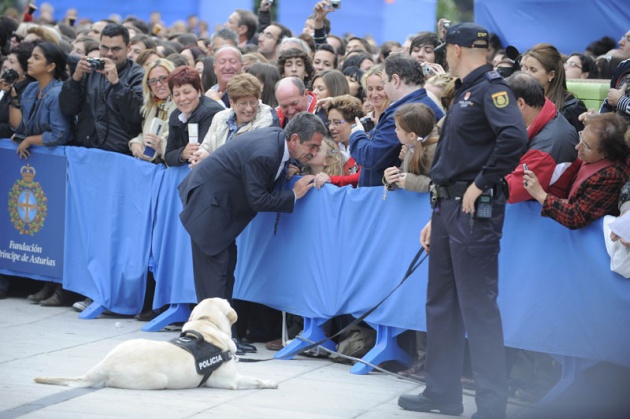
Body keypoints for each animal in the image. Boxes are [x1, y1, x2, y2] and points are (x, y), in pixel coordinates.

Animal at [35, 298, 278, 390]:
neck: (206, 324)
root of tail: (103, 366)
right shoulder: (231, 381)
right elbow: (254, 379)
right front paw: (270, 382)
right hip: (157, 381)